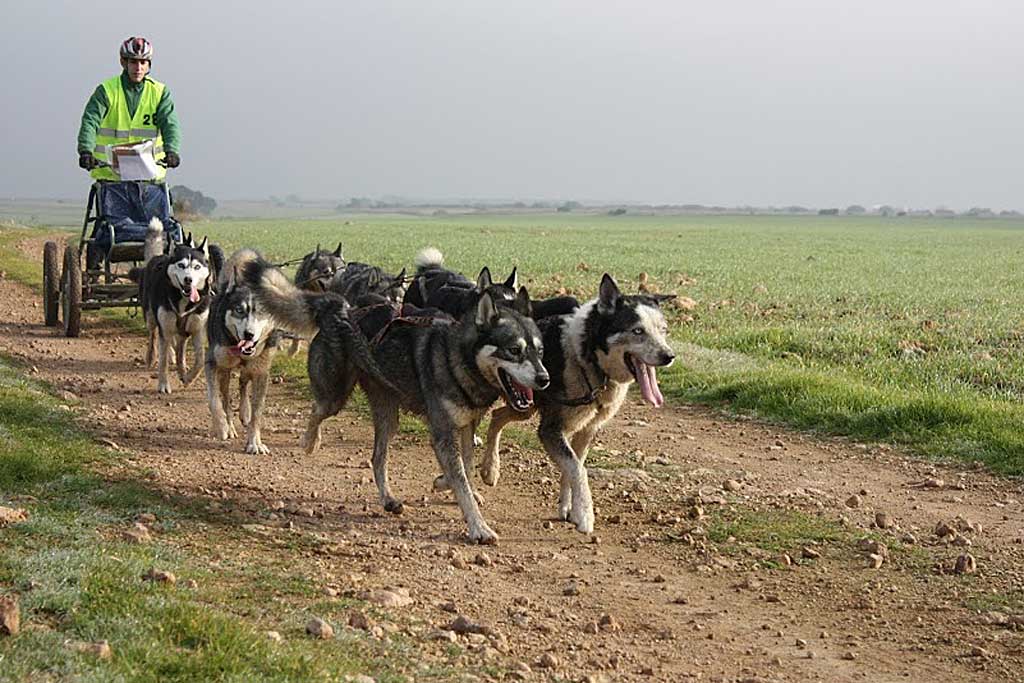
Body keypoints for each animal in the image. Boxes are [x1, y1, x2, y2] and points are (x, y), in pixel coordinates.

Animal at [132, 223, 222, 393]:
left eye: (197, 267)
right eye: (181, 265)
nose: (188, 279)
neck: (184, 301)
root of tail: (158, 257)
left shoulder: (197, 329)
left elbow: (199, 360)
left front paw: (188, 378)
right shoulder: (166, 328)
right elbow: (163, 361)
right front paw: (163, 384)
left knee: (179, 347)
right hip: (151, 317)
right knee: (153, 335)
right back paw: (151, 357)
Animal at [203, 249, 286, 454]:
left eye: (262, 312)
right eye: (239, 310)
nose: (249, 334)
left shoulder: (262, 373)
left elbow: (257, 413)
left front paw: (254, 442)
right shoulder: (212, 362)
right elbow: (214, 400)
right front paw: (222, 427)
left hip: (250, 369)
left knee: (243, 382)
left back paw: (244, 411)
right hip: (224, 372)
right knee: (225, 398)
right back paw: (230, 425)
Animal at [239, 253, 548, 540]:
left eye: (540, 351)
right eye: (514, 350)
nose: (544, 379)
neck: (458, 359)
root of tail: (341, 307)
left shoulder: (466, 426)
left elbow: (466, 469)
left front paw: (446, 483)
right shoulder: (443, 433)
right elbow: (461, 480)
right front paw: (478, 526)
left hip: (389, 417)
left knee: (377, 458)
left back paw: (388, 499)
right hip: (334, 396)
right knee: (317, 412)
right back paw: (310, 442)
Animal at [475, 274, 675, 532]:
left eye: (663, 330)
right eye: (637, 330)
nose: (669, 356)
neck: (588, 359)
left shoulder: (587, 429)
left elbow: (573, 467)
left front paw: (567, 508)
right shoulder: (550, 429)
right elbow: (577, 469)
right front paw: (585, 515)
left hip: (524, 406)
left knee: (497, 416)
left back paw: (490, 470)